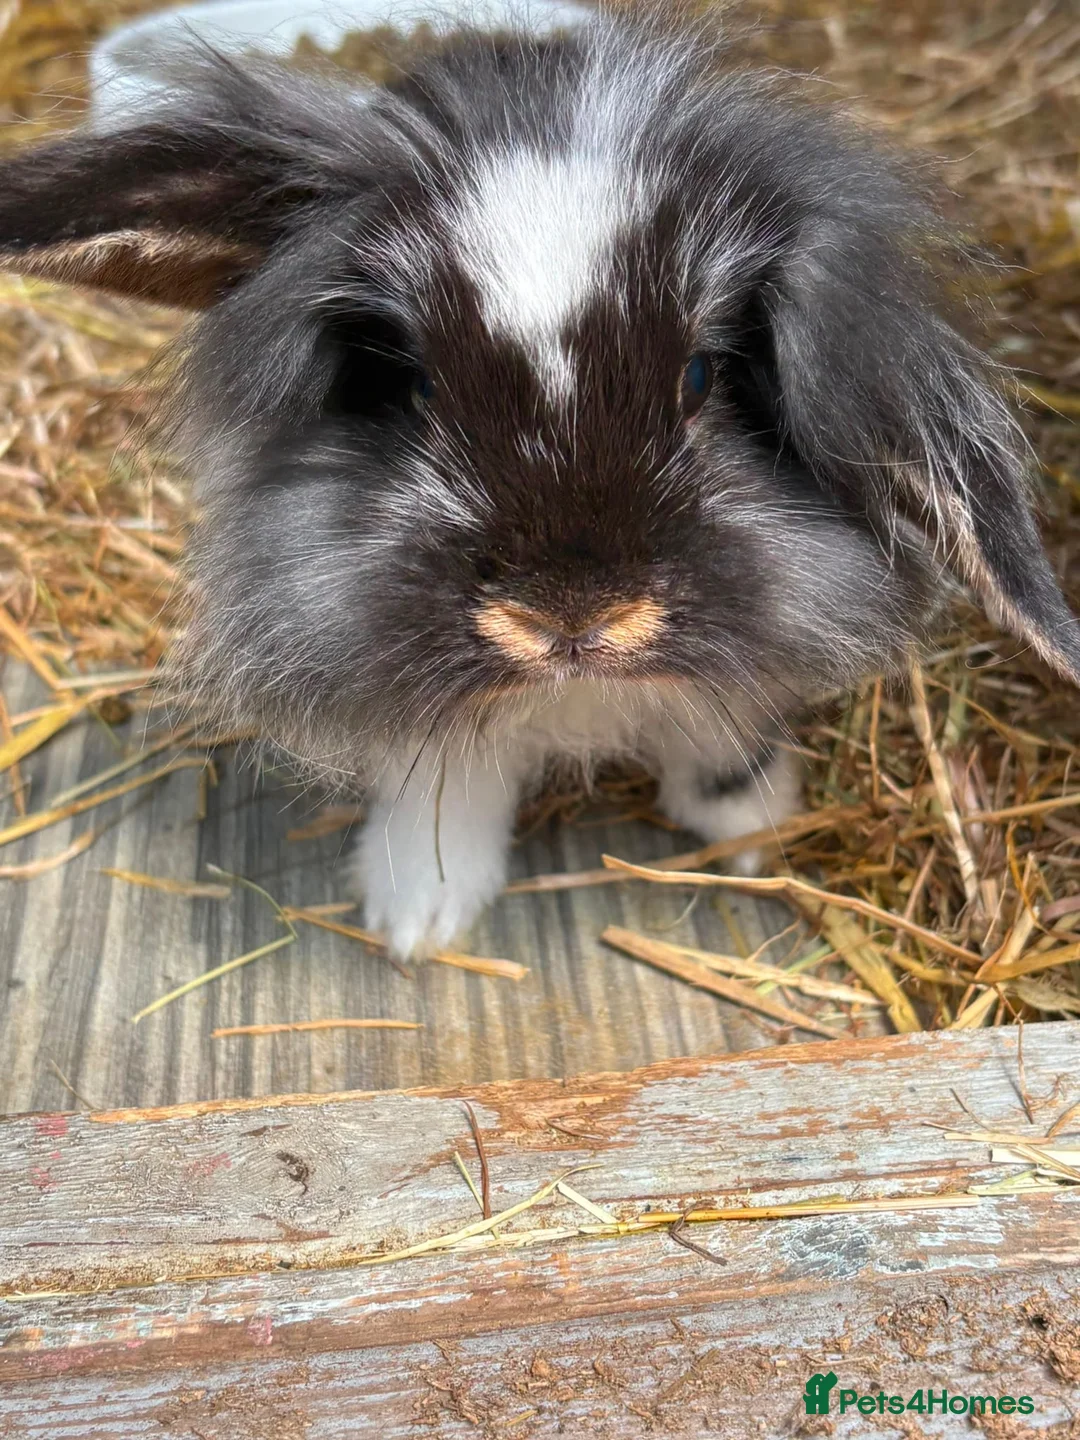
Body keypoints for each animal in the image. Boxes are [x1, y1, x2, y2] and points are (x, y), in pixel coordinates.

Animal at [1, 10, 1078, 958]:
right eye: (419, 387)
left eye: (700, 377)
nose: (572, 615)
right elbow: (445, 786)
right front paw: (416, 922)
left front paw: (747, 835)